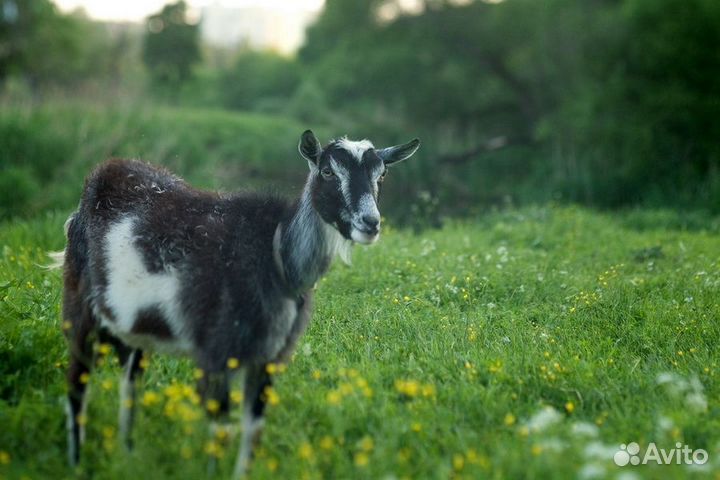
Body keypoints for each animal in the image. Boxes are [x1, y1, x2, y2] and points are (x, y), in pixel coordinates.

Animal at [59, 129, 420, 478]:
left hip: (134, 329)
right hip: (78, 308)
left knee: (129, 385)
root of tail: (103, 173)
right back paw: (76, 463)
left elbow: (253, 432)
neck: (275, 255)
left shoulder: (268, 358)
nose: (370, 223)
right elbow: (221, 432)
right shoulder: (215, 353)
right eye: (328, 171)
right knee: (77, 385)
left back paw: (128, 455)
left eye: (382, 174)